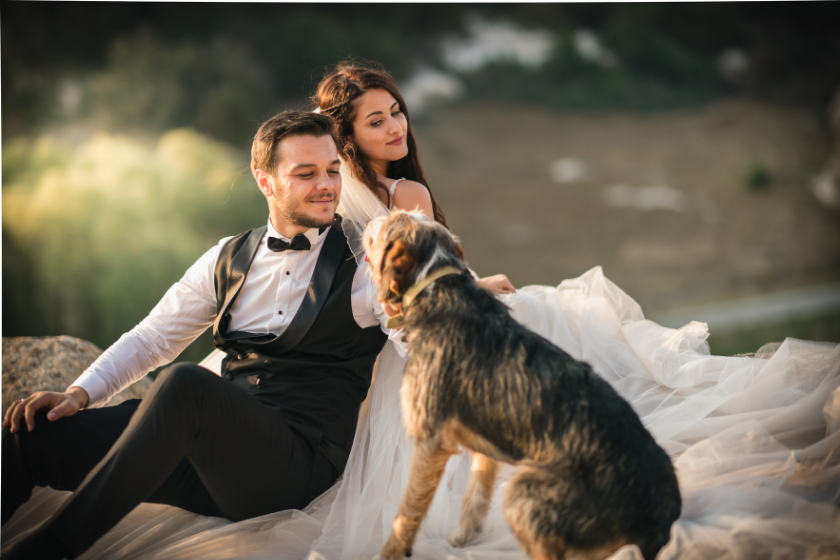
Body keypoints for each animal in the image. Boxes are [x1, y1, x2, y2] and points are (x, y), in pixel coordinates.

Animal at [364, 212, 680, 560]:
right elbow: (474, 496)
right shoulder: (486, 441)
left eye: (392, 220)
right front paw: (461, 539)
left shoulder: (430, 440)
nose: (373, 217)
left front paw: (387, 554)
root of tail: (659, 522)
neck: (438, 286)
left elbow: (406, 514)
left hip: (521, 492)